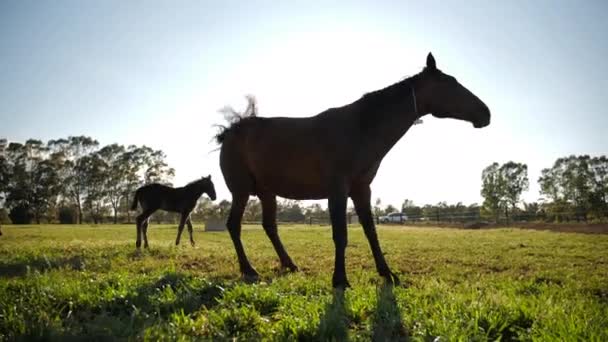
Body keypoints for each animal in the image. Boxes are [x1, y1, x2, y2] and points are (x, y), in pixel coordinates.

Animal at [216, 52, 492, 288]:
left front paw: (388, 274)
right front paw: (340, 279)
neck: (360, 129)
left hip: (267, 193)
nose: (485, 113)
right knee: (234, 226)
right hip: (241, 191)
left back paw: (289, 264)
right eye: (449, 83)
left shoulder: (361, 189)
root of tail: (230, 132)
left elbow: (371, 231)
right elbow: (341, 235)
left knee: (269, 227)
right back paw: (249, 269)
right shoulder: (338, 190)